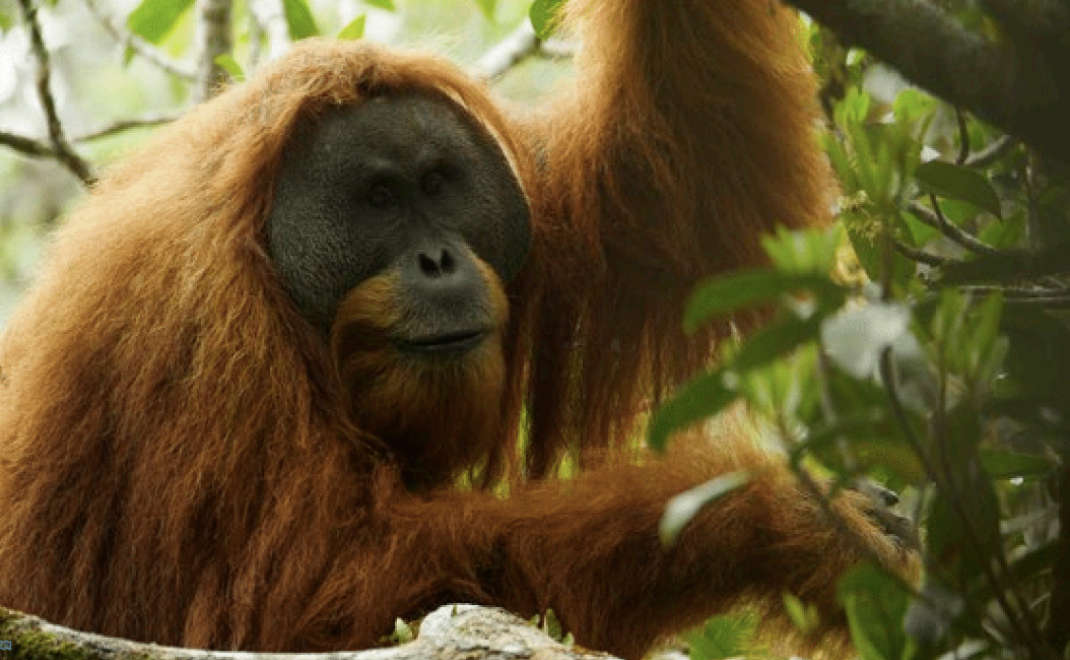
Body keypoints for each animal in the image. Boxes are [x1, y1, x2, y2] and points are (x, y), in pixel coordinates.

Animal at [0, 2, 914, 658]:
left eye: (438, 184)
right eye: (376, 199)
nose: (439, 259)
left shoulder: (539, 196)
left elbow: (676, 180)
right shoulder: (192, 335)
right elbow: (294, 602)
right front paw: (787, 518)